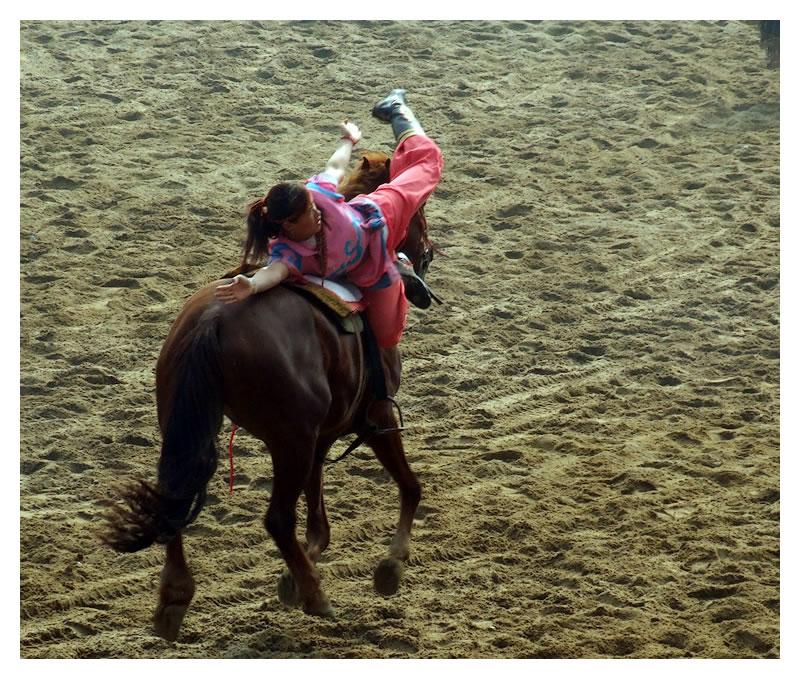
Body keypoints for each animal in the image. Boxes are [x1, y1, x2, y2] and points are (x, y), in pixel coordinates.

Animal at [104, 153, 438, 644]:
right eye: (421, 217)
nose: (425, 255)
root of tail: (214, 318)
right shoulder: (372, 418)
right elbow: (409, 487)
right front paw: (389, 566)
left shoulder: (323, 434)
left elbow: (318, 511)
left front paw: (296, 574)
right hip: (290, 440)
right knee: (276, 518)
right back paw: (317, 597)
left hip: (188, 426)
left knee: (175, 497)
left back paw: (174, 599)